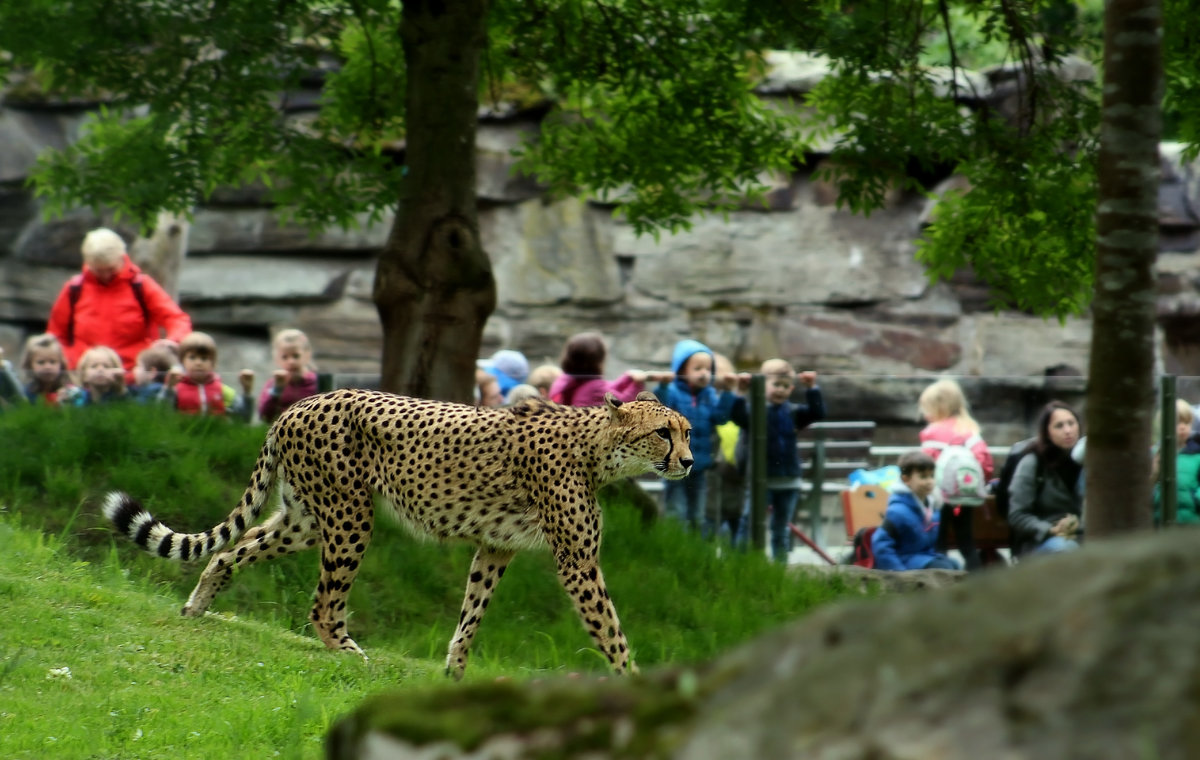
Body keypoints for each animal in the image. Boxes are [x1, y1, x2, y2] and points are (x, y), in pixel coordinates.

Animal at [103, 391, 696, 677]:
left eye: (688, 432)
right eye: (663, 433)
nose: (689, 462)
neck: (597, 448)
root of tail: (298, 403)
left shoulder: (496, 547)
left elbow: (471, 615)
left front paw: (454, 673)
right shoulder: (577, 562)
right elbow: (611, 631)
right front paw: (635, 682)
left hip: (305, 519)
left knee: (229, 554)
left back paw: (196, 608)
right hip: (349, 516)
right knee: (323, 602)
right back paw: (349, 653)